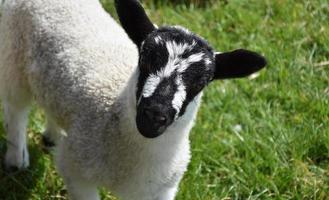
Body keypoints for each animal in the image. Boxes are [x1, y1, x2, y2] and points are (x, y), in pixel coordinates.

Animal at [0, 0, 266, 200]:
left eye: (202, 82)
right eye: (144, 58)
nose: (154, 115)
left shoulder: (164, 189)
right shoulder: (76, 170)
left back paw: (52, 137)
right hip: (12, 55)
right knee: (16, 108)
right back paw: (16, 160)